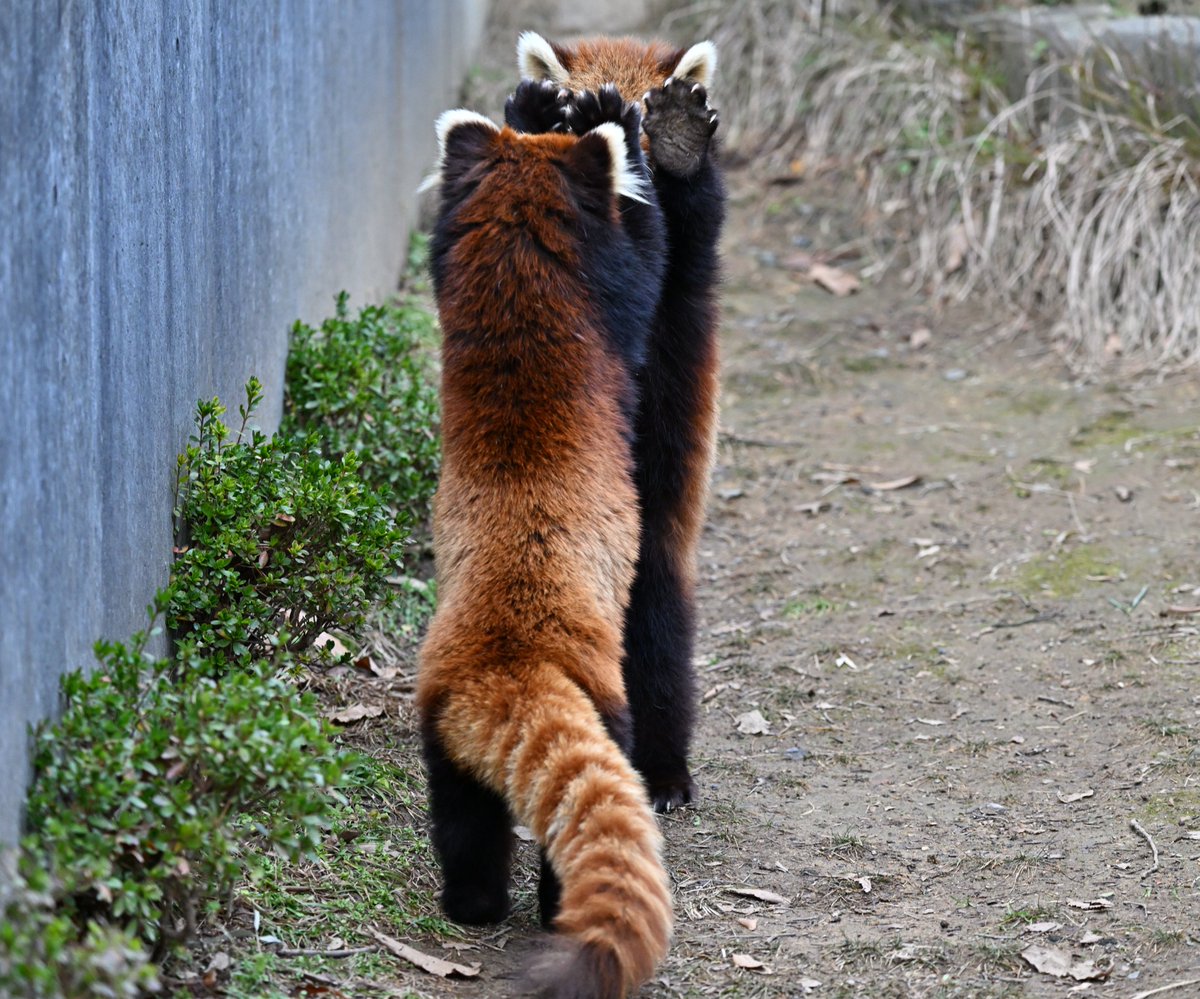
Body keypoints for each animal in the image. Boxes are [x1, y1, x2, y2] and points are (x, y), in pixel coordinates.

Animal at [417, 85, 672, 999]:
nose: (540, 106)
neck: (519, 283)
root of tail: (511, 657)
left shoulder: (455, 270)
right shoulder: (610, 300)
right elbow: (647, 264)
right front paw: (611, 123)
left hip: (438, 716)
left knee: (464, 815)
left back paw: (471, 903)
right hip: (604, 692)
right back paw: (544, 905)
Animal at [504, 33, 720, 811]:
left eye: (641, 142)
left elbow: (690, 233)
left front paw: (683, 143)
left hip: (660, 510)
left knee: (656, 625)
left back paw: (663, 768)